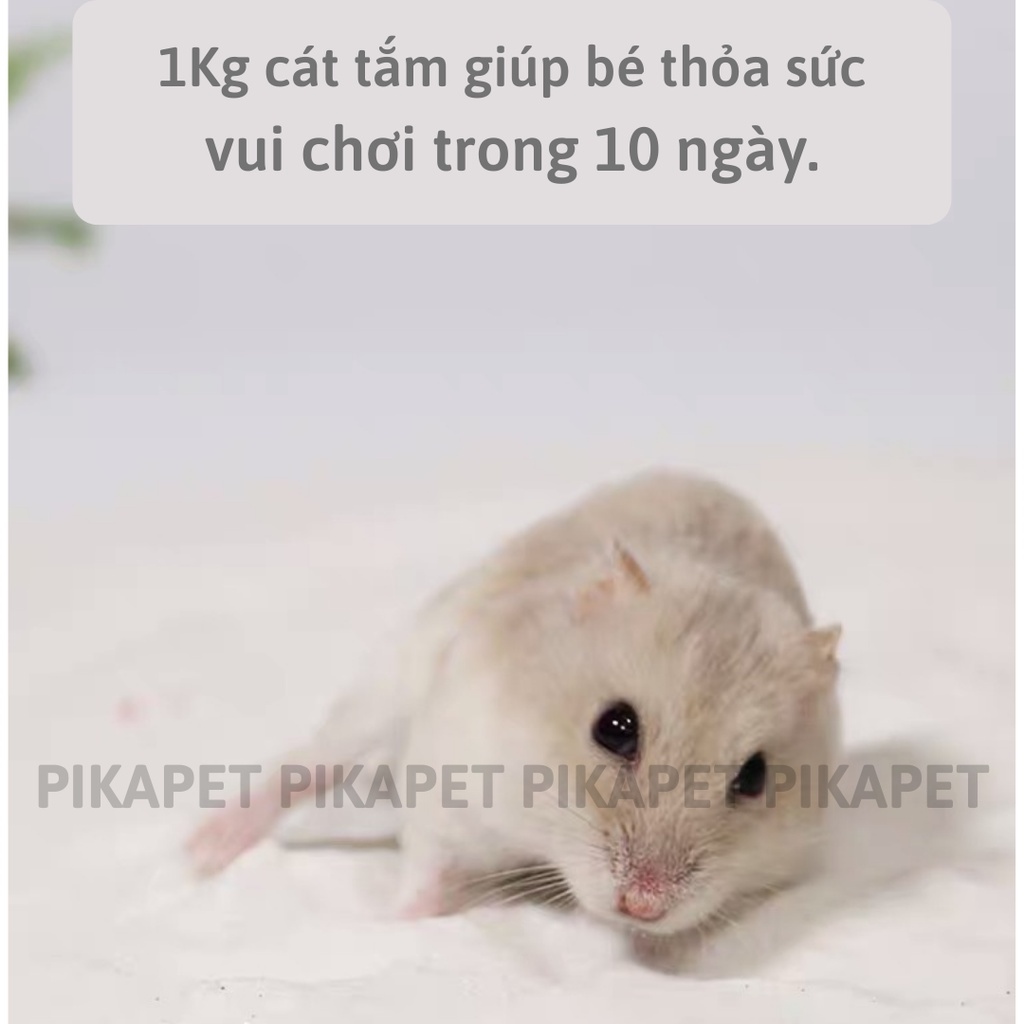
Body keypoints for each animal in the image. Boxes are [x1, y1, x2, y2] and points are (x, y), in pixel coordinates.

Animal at [188, 468, 841, 942]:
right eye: (615, 727)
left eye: (755, 777)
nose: (642, 906)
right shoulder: (451, 784)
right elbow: (425, 870)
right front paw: (388, 925)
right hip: (384, 683)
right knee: (307, 763)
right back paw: (200, 853)